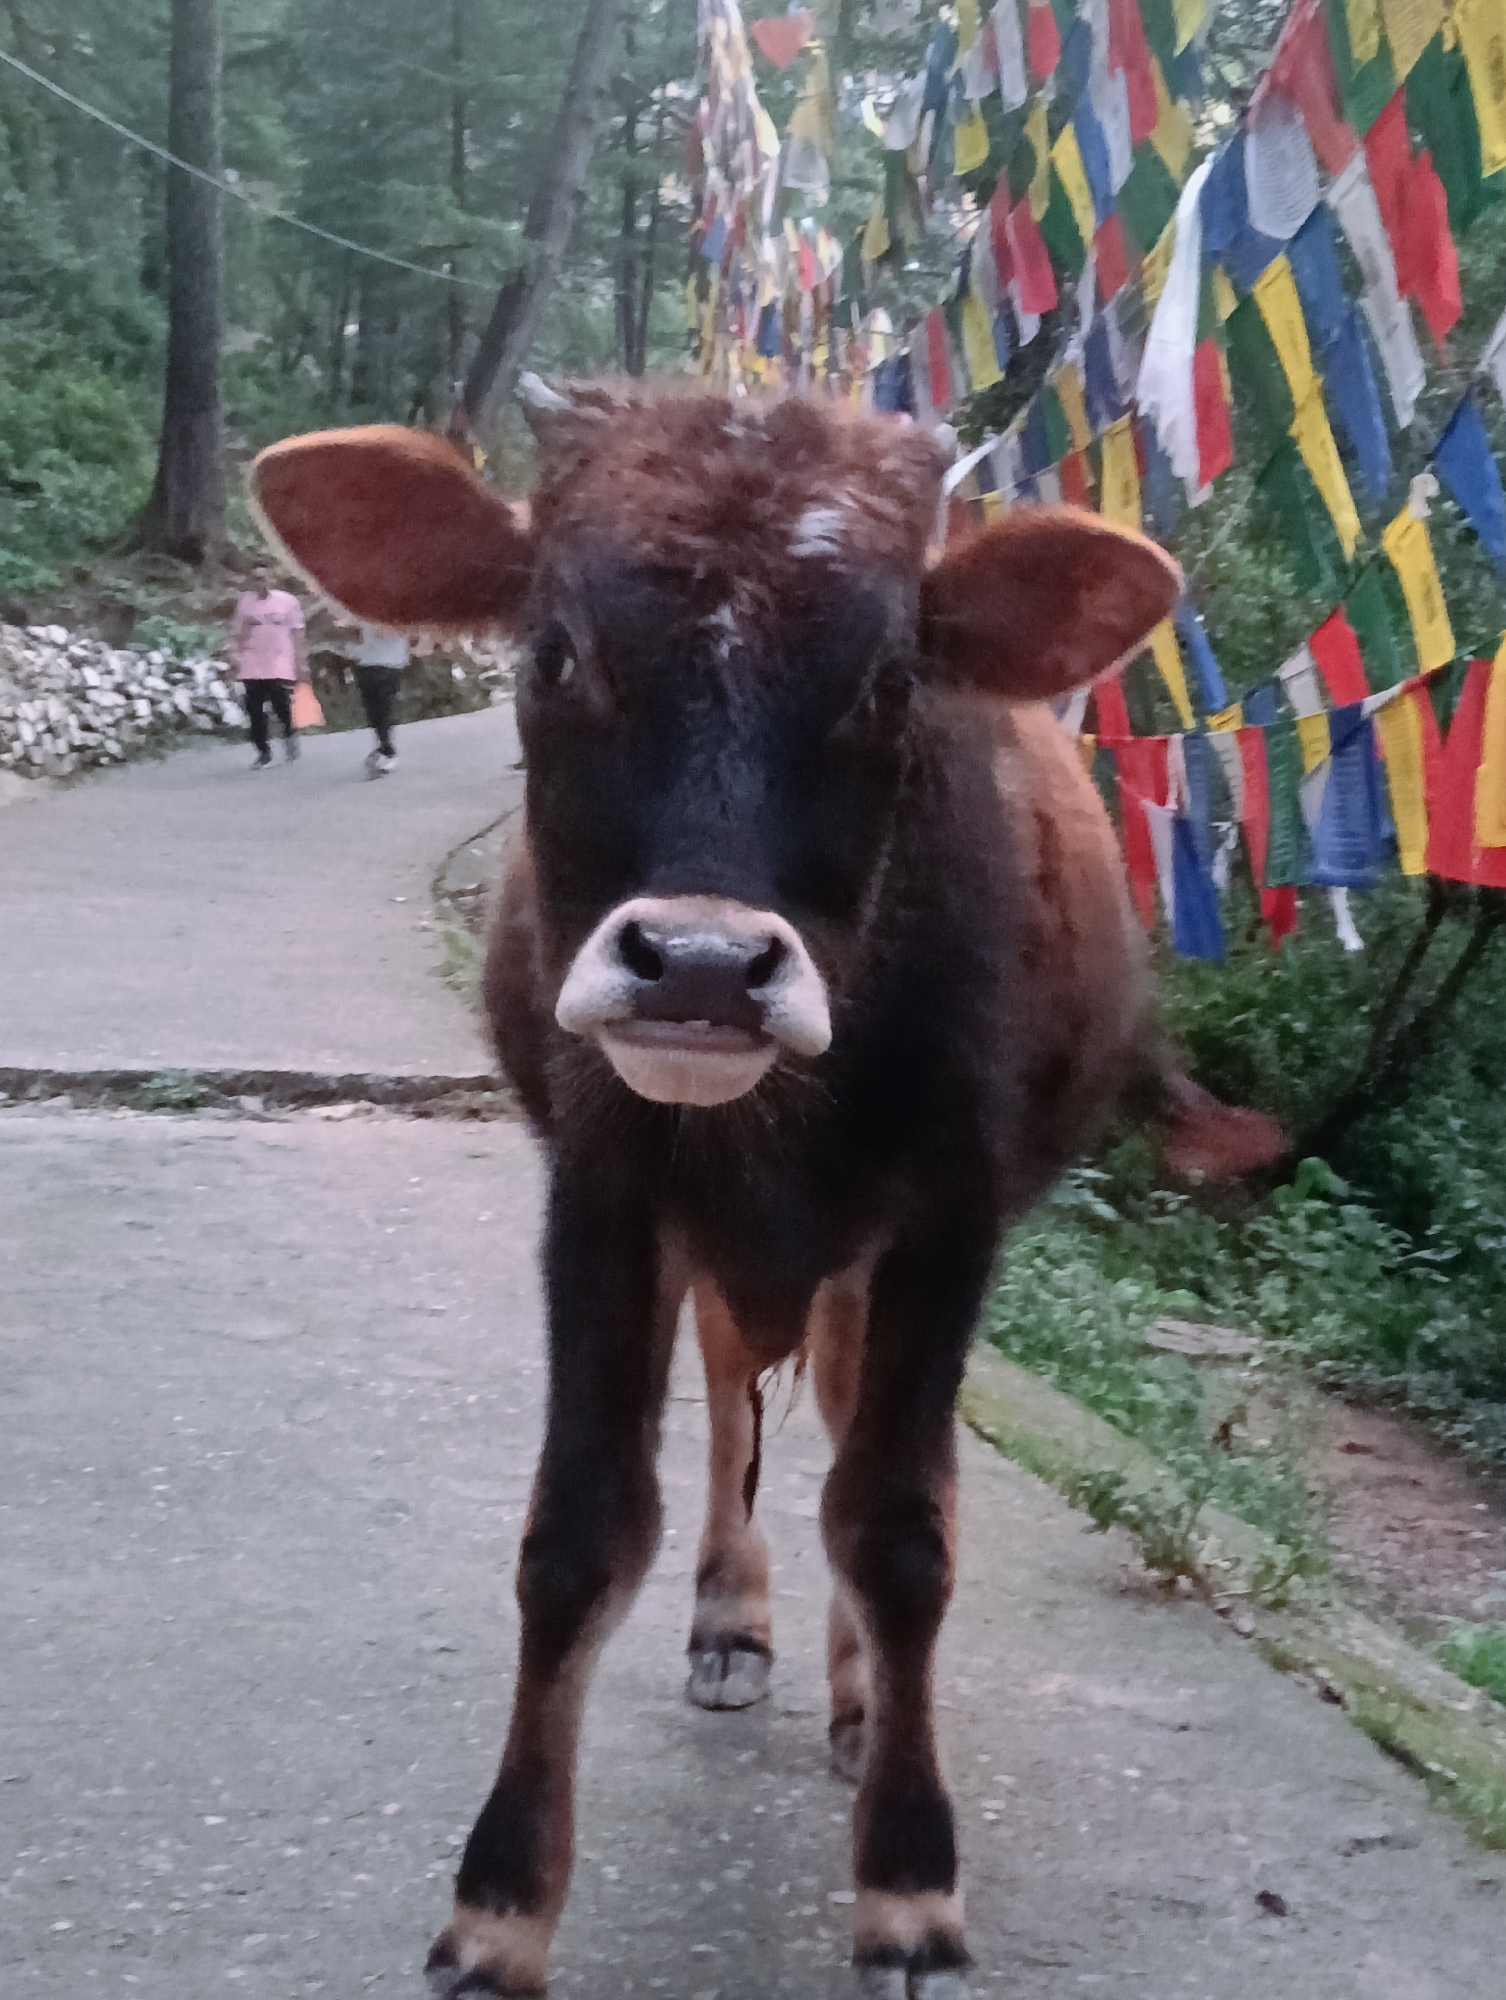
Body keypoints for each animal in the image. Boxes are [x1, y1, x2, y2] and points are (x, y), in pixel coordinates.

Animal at [250, 390, 1268, 1998]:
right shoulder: (600, 1187)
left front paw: (907, 1881)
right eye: (553, 651)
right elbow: (580, 1531)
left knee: (856, 1442)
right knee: (736, 1389)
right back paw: (734, 1617)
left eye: (892, 678)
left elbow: (902, 1528)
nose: (706, 966)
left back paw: (856, 1696)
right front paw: (499, 1908)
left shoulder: (948, 1216)